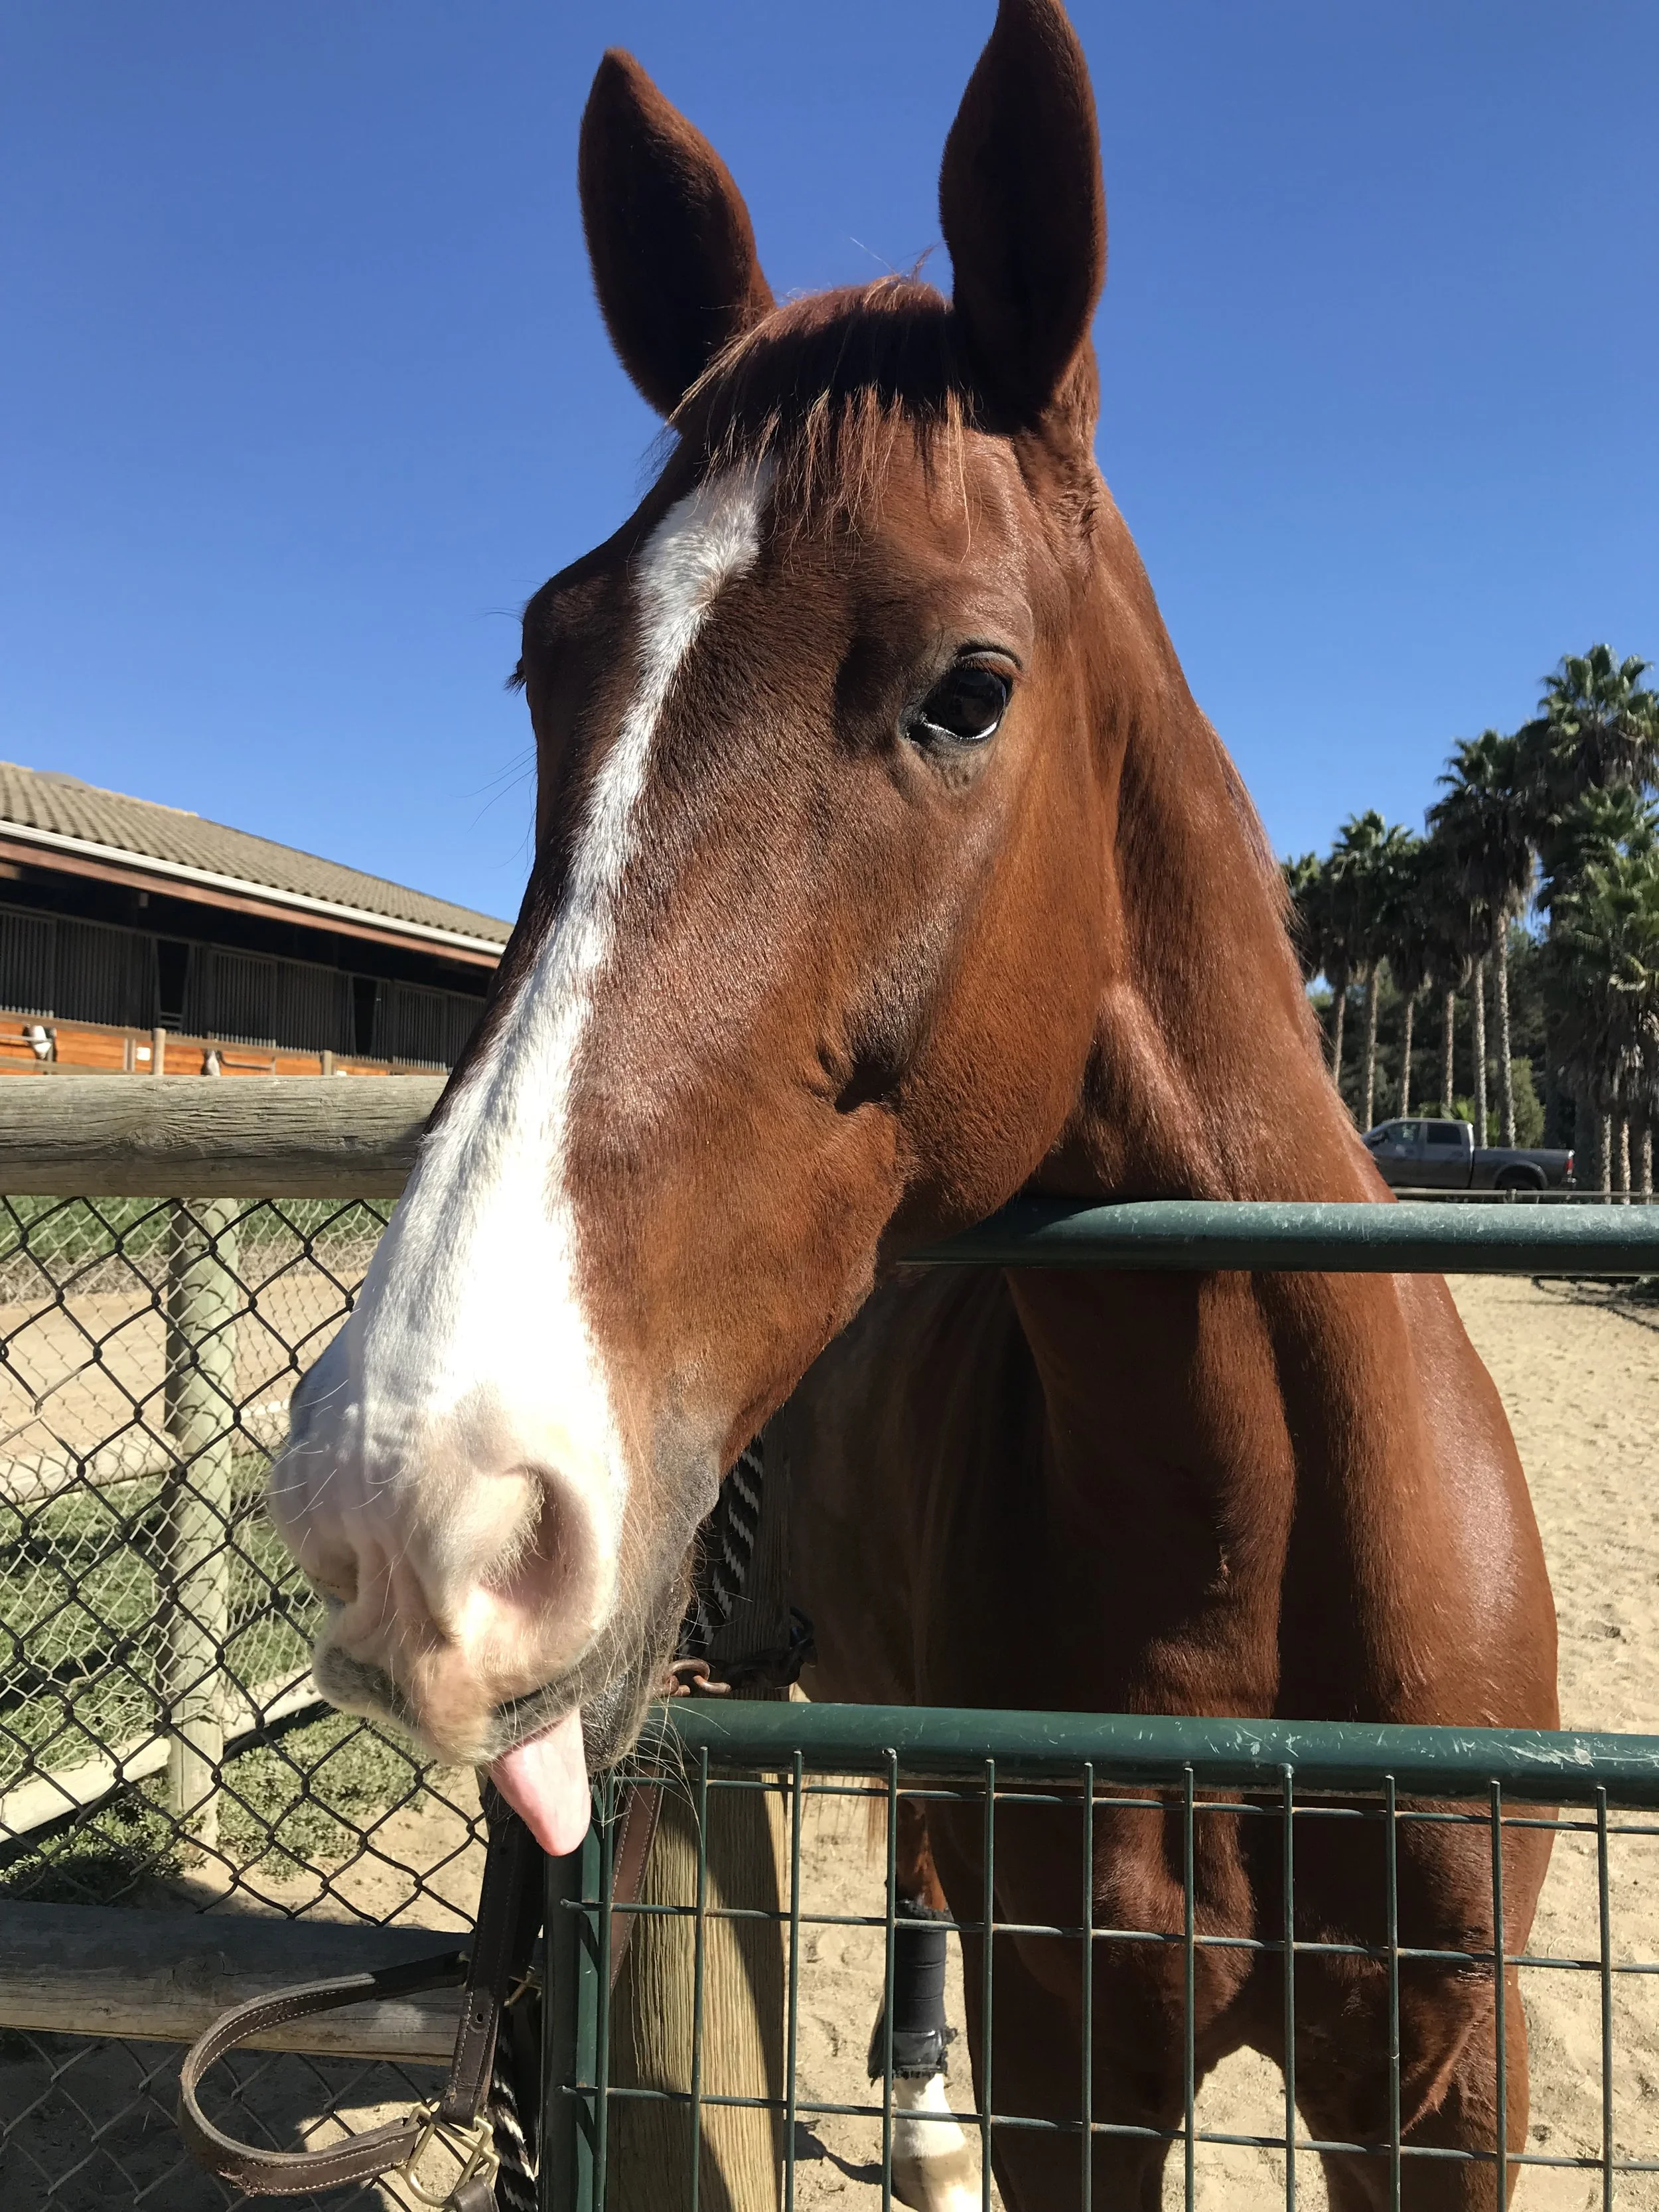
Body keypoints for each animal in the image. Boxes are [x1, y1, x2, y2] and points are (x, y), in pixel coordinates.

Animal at [268, 4, 1558, 2204]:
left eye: (966, 686)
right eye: (544, 664)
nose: (405, 1496)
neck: (1262, 1568)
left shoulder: (1445, 2084)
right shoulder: (1084, 2062)